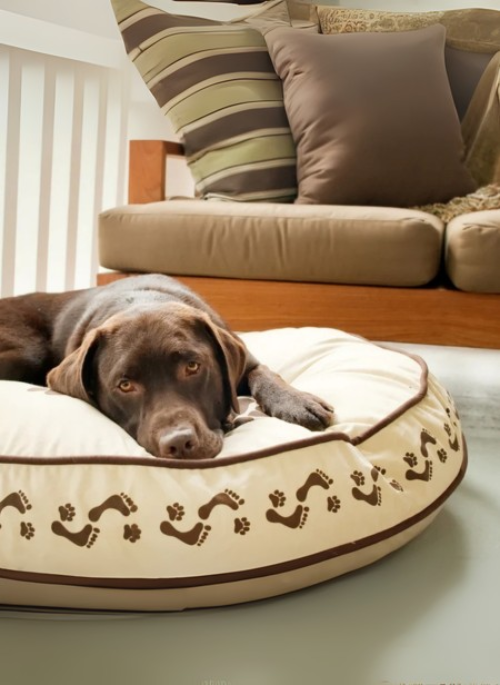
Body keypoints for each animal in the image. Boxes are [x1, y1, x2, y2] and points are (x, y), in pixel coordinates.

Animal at [0, 274, 334, 459]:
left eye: (193, 366)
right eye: (124, 385)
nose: (179, 443)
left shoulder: (246, 358)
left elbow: (264, 373)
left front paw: (296, 402)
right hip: (27, 353)